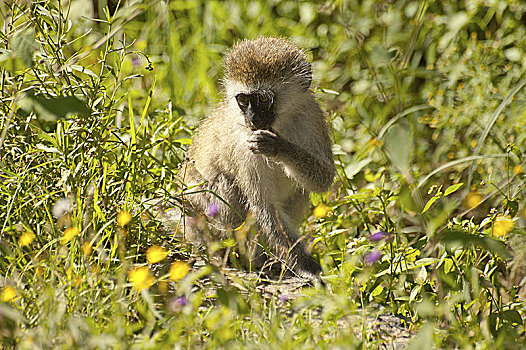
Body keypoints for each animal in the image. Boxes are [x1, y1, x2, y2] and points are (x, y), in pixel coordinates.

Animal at [182, 37, 336, 278]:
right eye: (243, 100)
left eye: (263, 98)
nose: (252, 118)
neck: (279, 123)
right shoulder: (245, 146)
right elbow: (264, 205)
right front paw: (308, 267)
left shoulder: (312, 116)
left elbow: (323, 179)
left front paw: (279, 147)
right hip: (196, 211)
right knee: (224, 184)